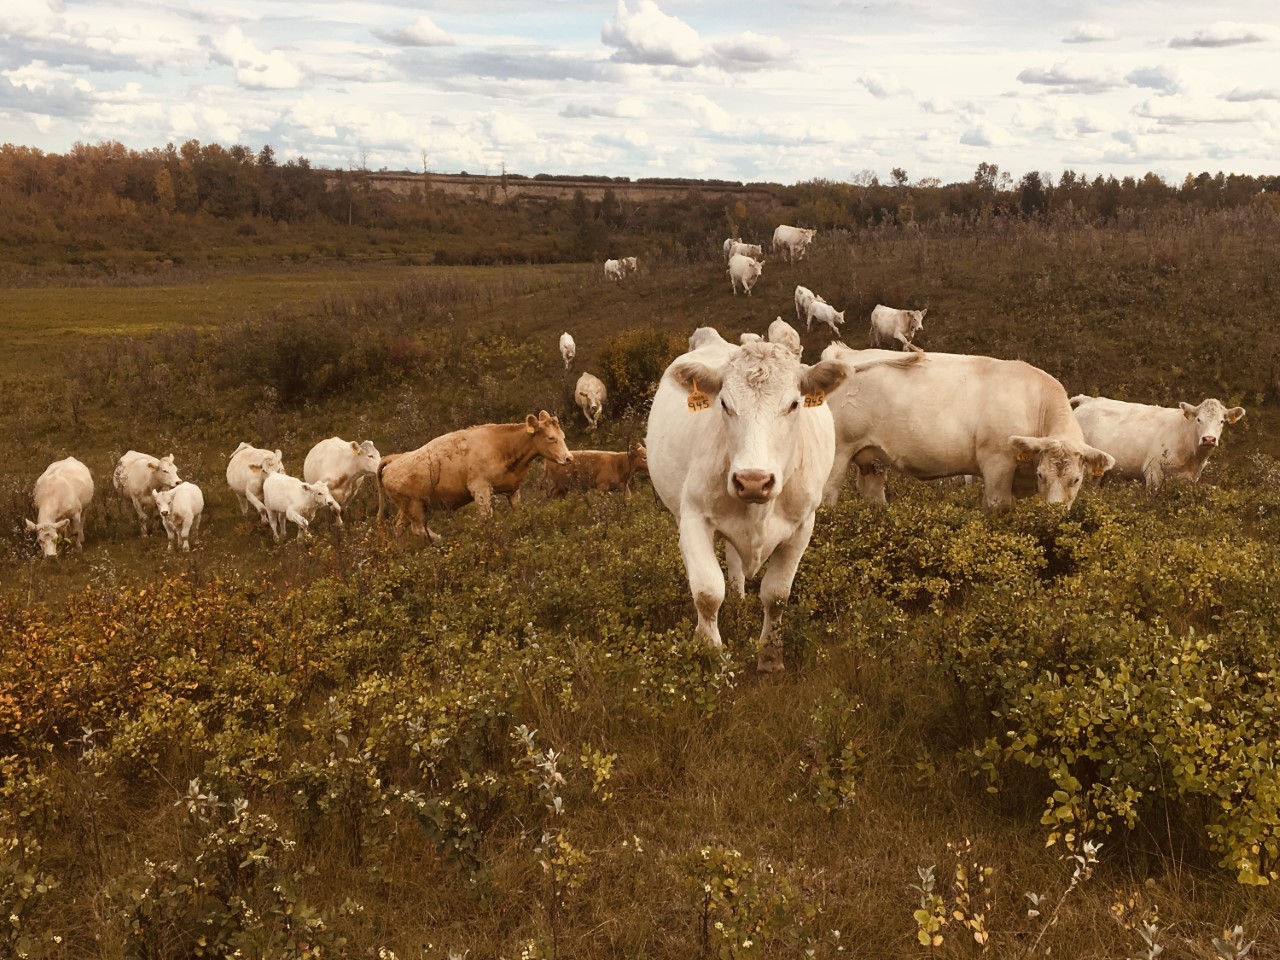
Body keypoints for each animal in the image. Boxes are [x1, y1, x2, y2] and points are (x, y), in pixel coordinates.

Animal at [376, 409, 573, 542]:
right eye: (550, 438)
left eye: (563, 435)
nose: (568, 458)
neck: (502, 446)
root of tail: (394, 459)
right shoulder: (480, 489)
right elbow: (486, 518)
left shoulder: (512, 489)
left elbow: (518, 511)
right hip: (414, 506)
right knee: (417, 529)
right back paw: (439, 539)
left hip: (408, 507)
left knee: (399, 527)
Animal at [650, 327, 849, 670]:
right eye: (724, 404)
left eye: (794, 404)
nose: (753, 481)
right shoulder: (694, 517)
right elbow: (707, 592)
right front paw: (710, 654)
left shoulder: (802, 527)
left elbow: (777, 594)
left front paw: (770, 656)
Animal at [819, 345, 1111, 512]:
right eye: (1041, 474)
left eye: (1076, 479)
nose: (1053, 514)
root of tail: (845, 355)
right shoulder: (997, 462)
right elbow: (998, 506)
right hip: (838, 453)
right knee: (827, 497)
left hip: (871, 458)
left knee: (873, 495)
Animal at [1064, 394, 1244, 491]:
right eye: (1198, 419)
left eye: (1222, 421)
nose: (1209, 439)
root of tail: (1087, 400)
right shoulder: (1153, 473)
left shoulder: (1189, 480)